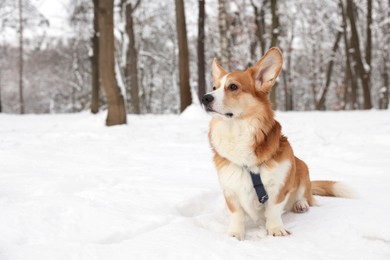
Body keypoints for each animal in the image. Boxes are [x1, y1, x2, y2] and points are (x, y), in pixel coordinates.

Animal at [201, 47, 354, 241]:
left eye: (233, 87)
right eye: (214, 87)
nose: (204, 98)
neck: (237, 131)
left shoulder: (279, 187)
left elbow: (273, 210)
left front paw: (275, 229)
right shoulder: (231, 190)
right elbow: (236, 214)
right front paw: (235, 234)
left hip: (301, 167)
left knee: (305, 196)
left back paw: (301, 204)